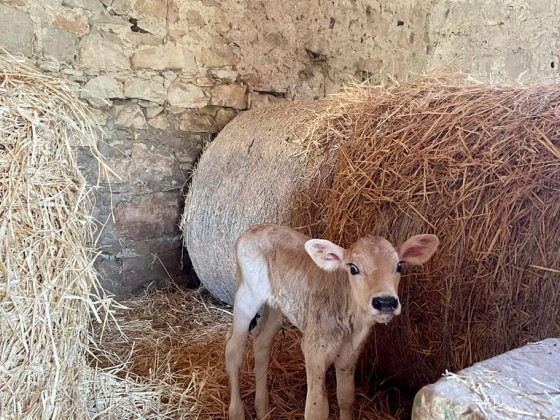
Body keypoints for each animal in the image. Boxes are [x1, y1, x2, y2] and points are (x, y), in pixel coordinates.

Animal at [225, 225, 440, 418]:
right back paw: (237, 412)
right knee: (234, 350)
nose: (385, 301)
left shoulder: (350, 354)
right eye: (353, 268)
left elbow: (346, 397)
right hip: (247, 296)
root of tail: (251, 231)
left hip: (277, 306)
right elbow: (316, 409)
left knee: (262, 342)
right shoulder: (313, 350)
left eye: (399, 266)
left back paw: (263, 410)